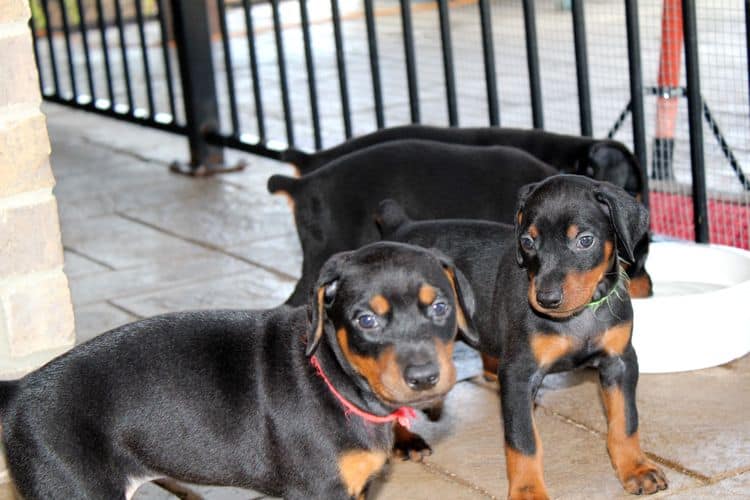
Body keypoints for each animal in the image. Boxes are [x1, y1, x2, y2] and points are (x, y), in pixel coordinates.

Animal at [0, 240, 478, 498]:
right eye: (366, 320)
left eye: (440, 306)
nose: (424, 378)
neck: (333, 380)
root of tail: (20, 389)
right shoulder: (320, 490)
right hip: (74, 488)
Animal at [378, 176, 668, 500]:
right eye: (528, 242)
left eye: (585, 240)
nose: (546, 299)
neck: (578, 317)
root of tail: (402, 227)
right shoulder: (519, 374)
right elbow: (523, 441)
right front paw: (528, 490)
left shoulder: (620, 362)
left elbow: (626, 422)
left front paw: (635, 468)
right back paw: (406, 440)